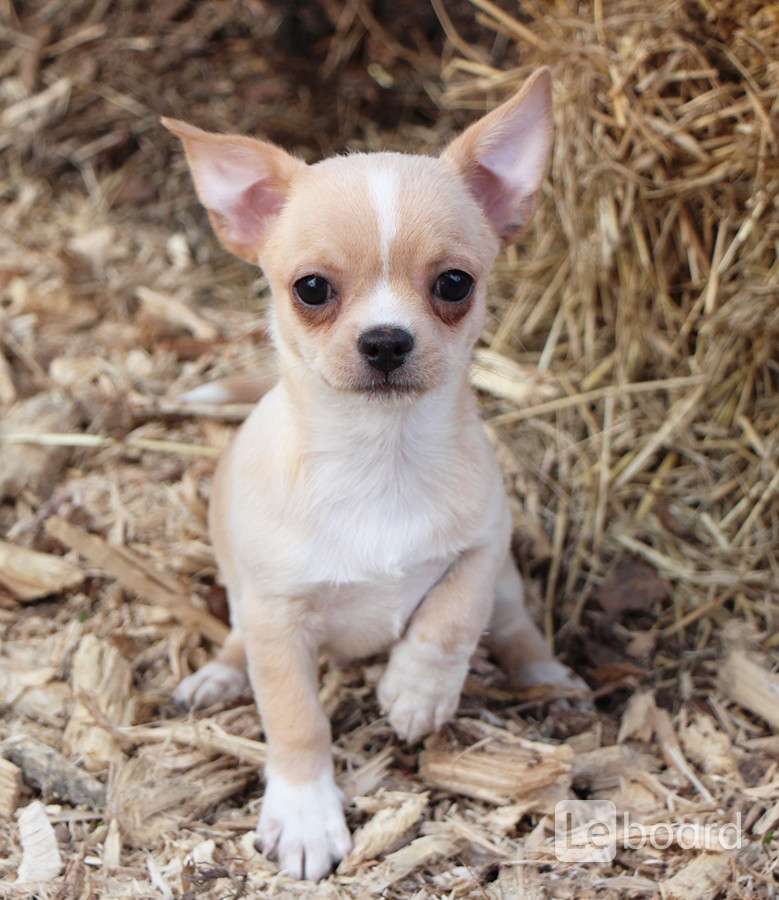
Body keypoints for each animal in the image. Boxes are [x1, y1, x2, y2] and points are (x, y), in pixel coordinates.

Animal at [163, 68, 584, 880]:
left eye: (453, 284)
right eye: (311, 289)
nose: (386, 340)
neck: (380, 457)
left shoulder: (484, 545)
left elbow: (450, 617)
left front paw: (415, 691)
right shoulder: (277, 620)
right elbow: (297, 722)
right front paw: (304, 815)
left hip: (509, 585)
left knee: (513, 625)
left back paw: (542, 675)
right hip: (245, 603)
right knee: (239, 644)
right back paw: (219, 676)